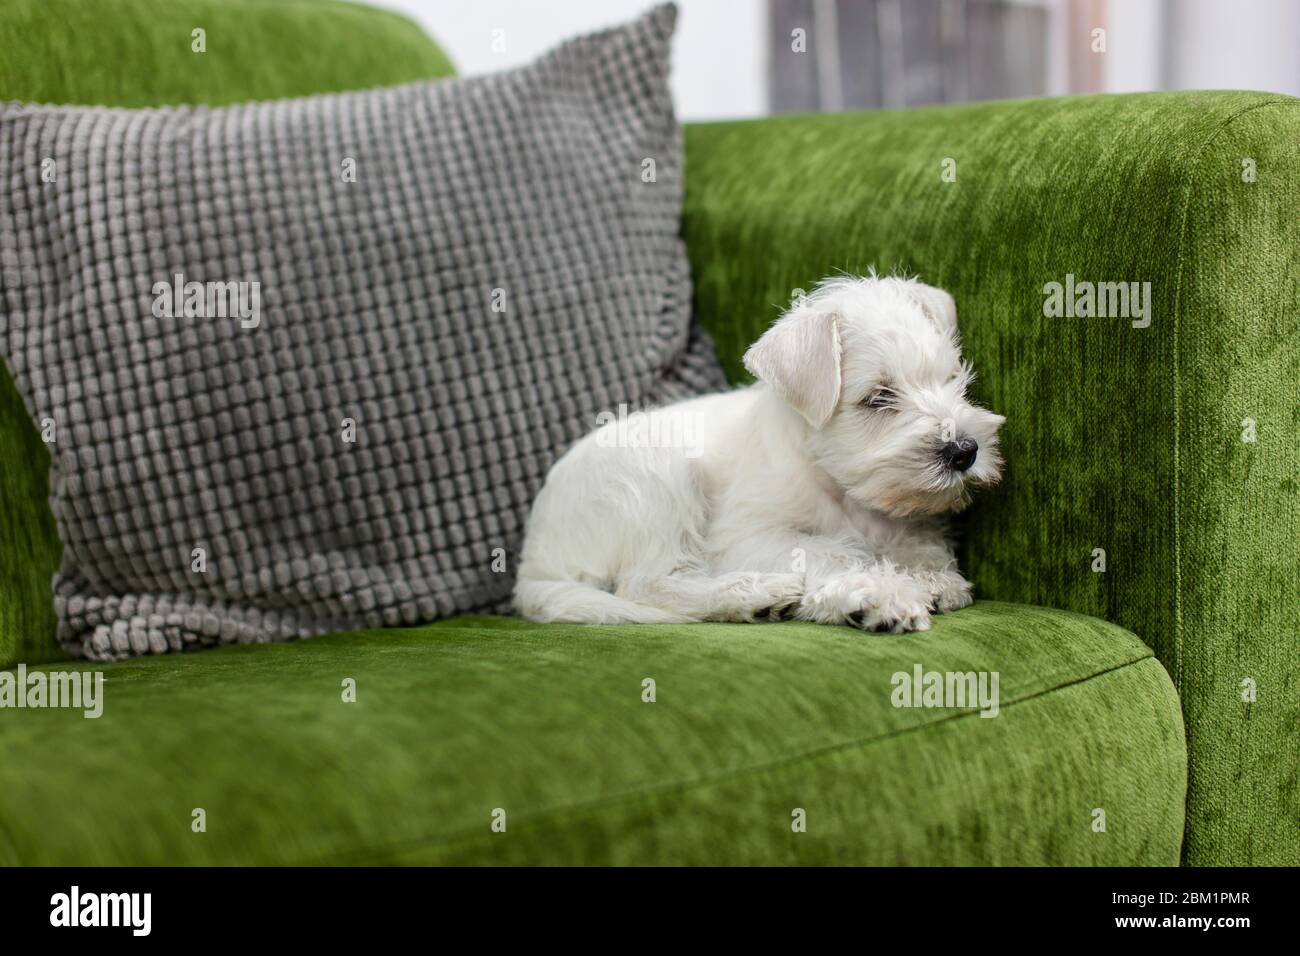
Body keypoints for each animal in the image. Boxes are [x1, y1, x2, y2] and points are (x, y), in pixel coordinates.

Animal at [512, 274, 998, 634]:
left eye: (952, 379)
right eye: (878, 397)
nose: (964, 451)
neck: (831, 481)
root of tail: (533, 561)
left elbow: (919, 542)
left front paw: (932, 578)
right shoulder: (745, 536)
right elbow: (832, 551)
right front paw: (881, 593)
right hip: (657, 477)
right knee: (649, 586)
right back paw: (757, 595)